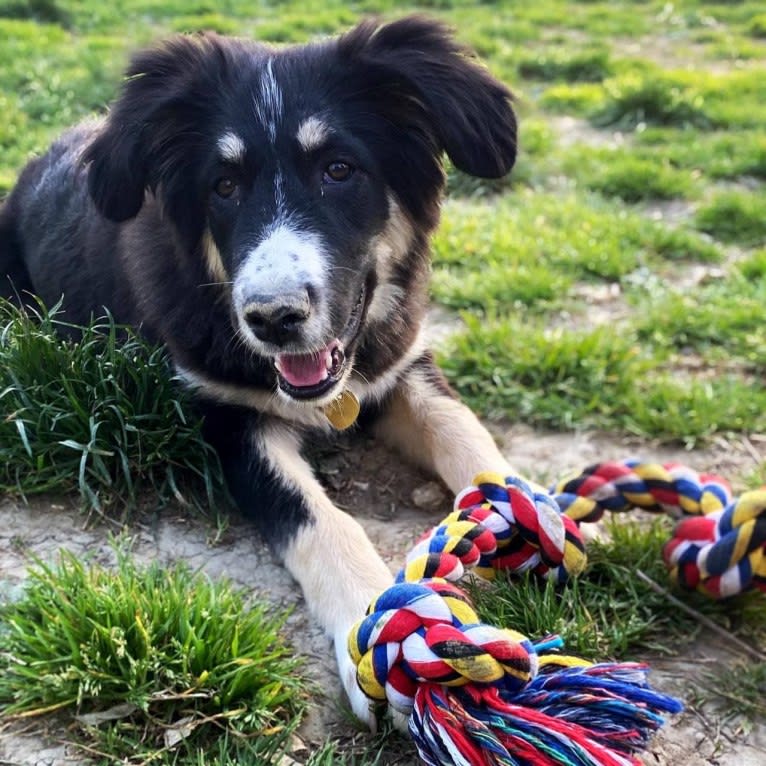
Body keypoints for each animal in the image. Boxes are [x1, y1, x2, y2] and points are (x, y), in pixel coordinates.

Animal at [0, 16, 520, 728]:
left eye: (339, 169)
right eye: (224, 186)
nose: (273, 318)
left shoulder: (401, 364)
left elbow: (464, 429)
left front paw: (543, 515)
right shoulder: (225, 419)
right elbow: (319, 517)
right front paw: (372, 632)